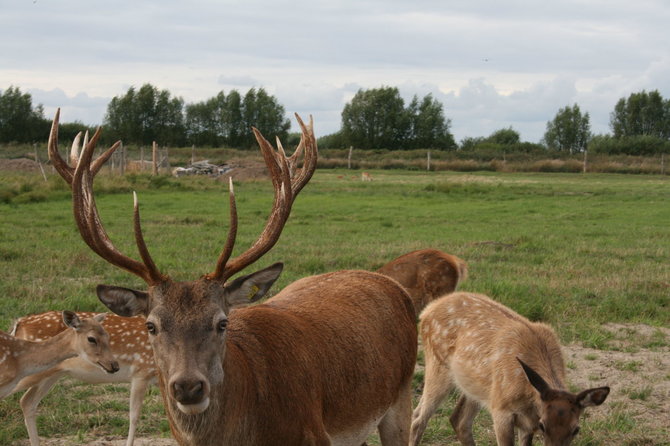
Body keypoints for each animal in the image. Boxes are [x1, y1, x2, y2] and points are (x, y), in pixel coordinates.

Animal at [12, 312, 155, 446]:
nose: (114, 366)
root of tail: (19, 323)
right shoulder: (142, 371)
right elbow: (134, 416)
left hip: (52, 374)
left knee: (27, 401)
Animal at [47, 110, 418, 446]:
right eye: (150, 325)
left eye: (222, 322)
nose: (189, 387)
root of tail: (391, 284)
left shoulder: (315, 436)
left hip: (399, 397)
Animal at [412, 292, 612, 446]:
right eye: (543, 425)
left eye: (576, 429)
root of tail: (426, 311)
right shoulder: (501, 410)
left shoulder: (526, 422)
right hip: (438, 365)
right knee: (418, 419)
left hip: (477, 386)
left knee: (458, 420)